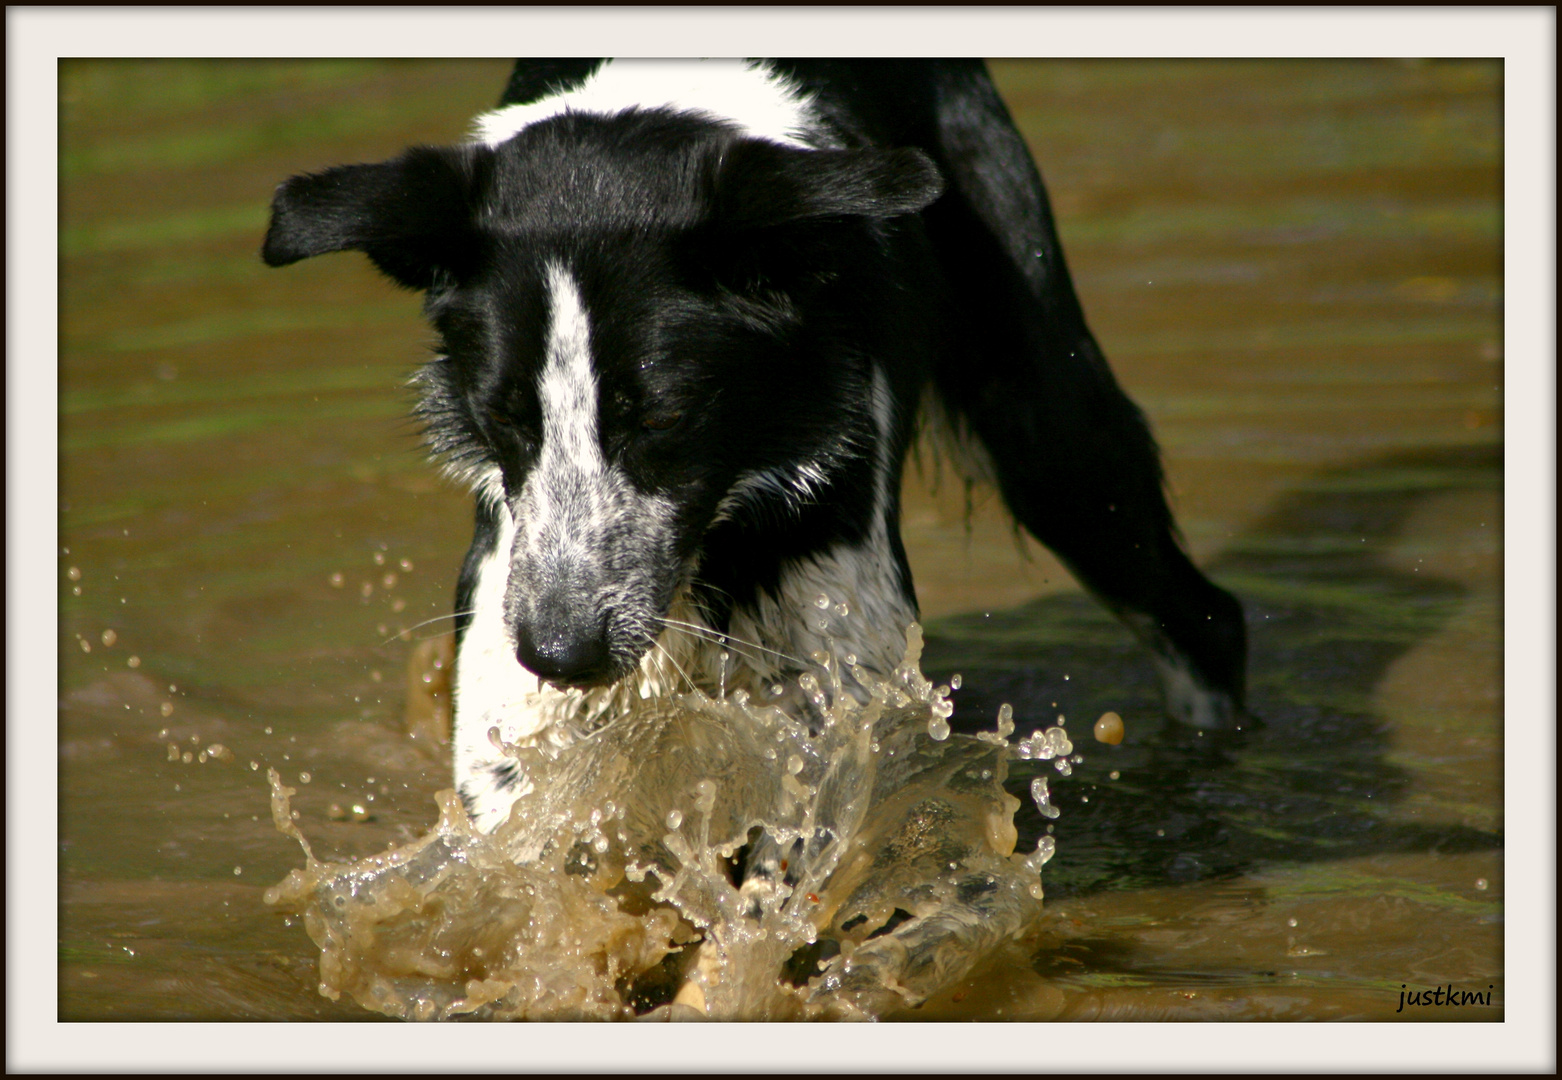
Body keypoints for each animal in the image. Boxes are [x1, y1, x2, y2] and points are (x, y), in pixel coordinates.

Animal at [265, 61, 1243, 837]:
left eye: (664, 416)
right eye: (504, 415)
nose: (562, 653)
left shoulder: (838, 647)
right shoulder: (509, 604)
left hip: (1053, 438)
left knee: (1204, 618)